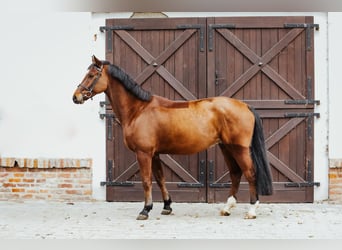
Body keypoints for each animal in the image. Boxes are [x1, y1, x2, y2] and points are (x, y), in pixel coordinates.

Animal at [72, 55, 272, 220]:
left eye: (91, 75)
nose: (76, 97)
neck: (138, 110)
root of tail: (245, 106)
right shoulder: (155, 154)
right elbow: (160, 178)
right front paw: (167, 206)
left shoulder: (143, 153)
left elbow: (146, 181)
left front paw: (145, 210)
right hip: (226, 147)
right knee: (236, 173)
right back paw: (227, 208)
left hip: (239, 149)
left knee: (250, 173)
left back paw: (251, 211)